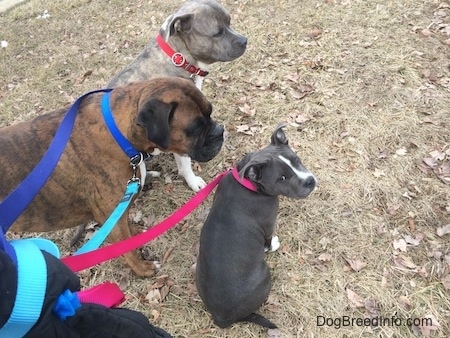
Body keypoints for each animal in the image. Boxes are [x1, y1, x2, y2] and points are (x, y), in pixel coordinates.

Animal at [107, 0, 246, 191]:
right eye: (218, 32)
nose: (245, 40)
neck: (180, 57)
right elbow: (185, 162)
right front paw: (193, 181)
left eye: (230, 22)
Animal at [194, 123, 316, 328]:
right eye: (282, 178)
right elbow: (268, 240)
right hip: (264, 275)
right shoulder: (268, 224)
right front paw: (273, 245)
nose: (310, 181)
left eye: (297, 160)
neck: (249, 184)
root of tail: (221, 318)